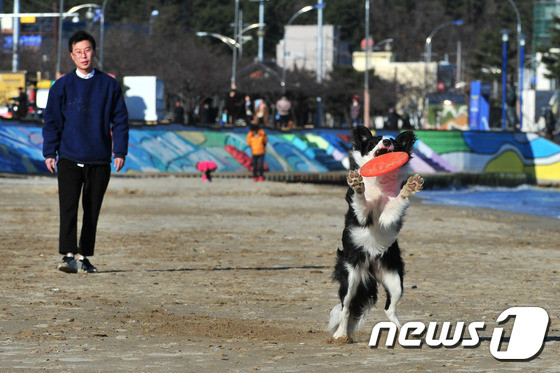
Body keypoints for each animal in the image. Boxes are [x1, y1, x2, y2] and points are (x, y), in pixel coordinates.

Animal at [328, 125, 424, 340]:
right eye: (375, 141)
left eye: (394, 142)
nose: (387, 142)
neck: (379, 183)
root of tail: (370, 268)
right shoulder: (362, 218)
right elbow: (361, 200)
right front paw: (357, 185)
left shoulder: (388, 219)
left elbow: (397, 203)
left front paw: (410, 187)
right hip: (351, 276)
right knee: (346, 307)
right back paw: (341, 335)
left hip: (395, 279)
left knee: (390, 308)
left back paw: (401, 331)